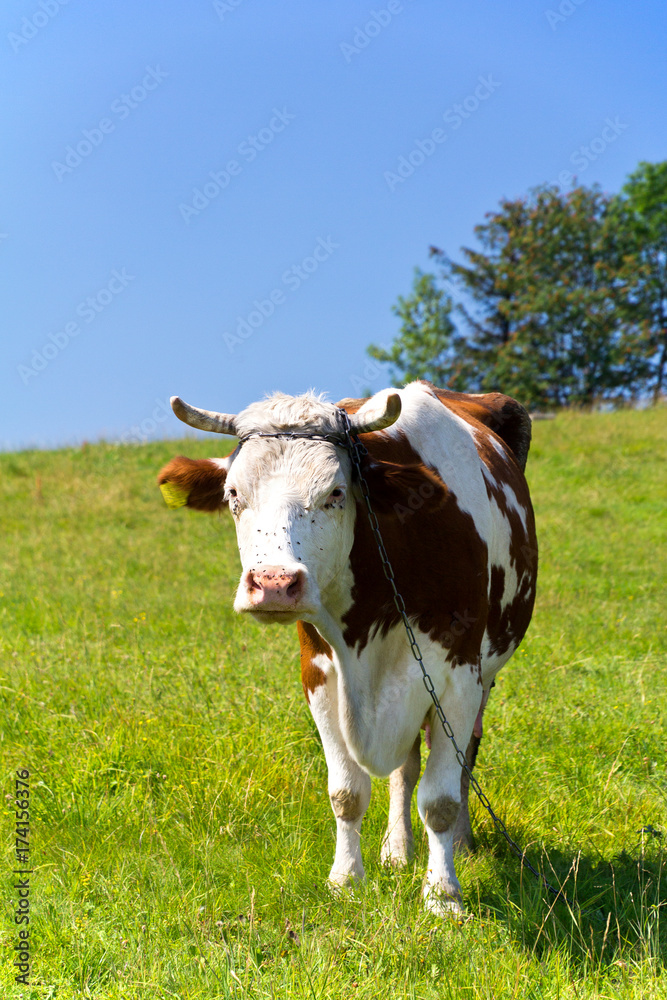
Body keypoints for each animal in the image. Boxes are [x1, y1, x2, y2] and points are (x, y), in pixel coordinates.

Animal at [157, 380, 536, 916]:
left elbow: (440, 799)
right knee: (404, 768)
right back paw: (397, 849)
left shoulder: (458, 676)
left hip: (483, 674)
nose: (273, 584)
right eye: (234, 494)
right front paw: (346, 879)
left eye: (335, 493)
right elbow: (347, 791)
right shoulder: (319, 674)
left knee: (463, 760)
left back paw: (459, 845)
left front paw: (443, 895)